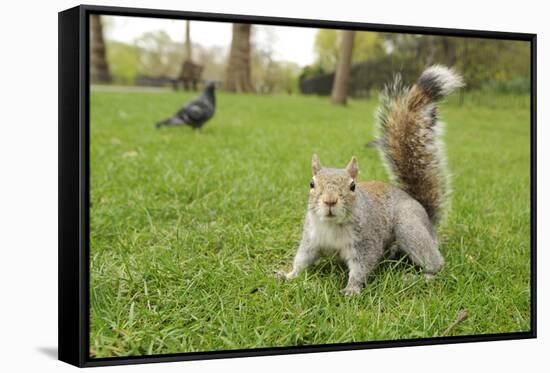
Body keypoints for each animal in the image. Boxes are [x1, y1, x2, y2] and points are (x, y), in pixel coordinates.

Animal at [278, 65, 464, 294]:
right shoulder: (311, 238)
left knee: (435, 261)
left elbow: (362, 266)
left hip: (408, 225)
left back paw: (422, 277)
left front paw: (351, 289)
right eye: (311, 184)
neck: (332, 226)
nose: (330, 201)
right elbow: (302, 259)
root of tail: (427, 217)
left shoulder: (366, 241)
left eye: (352, 186)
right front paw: (288, 275)